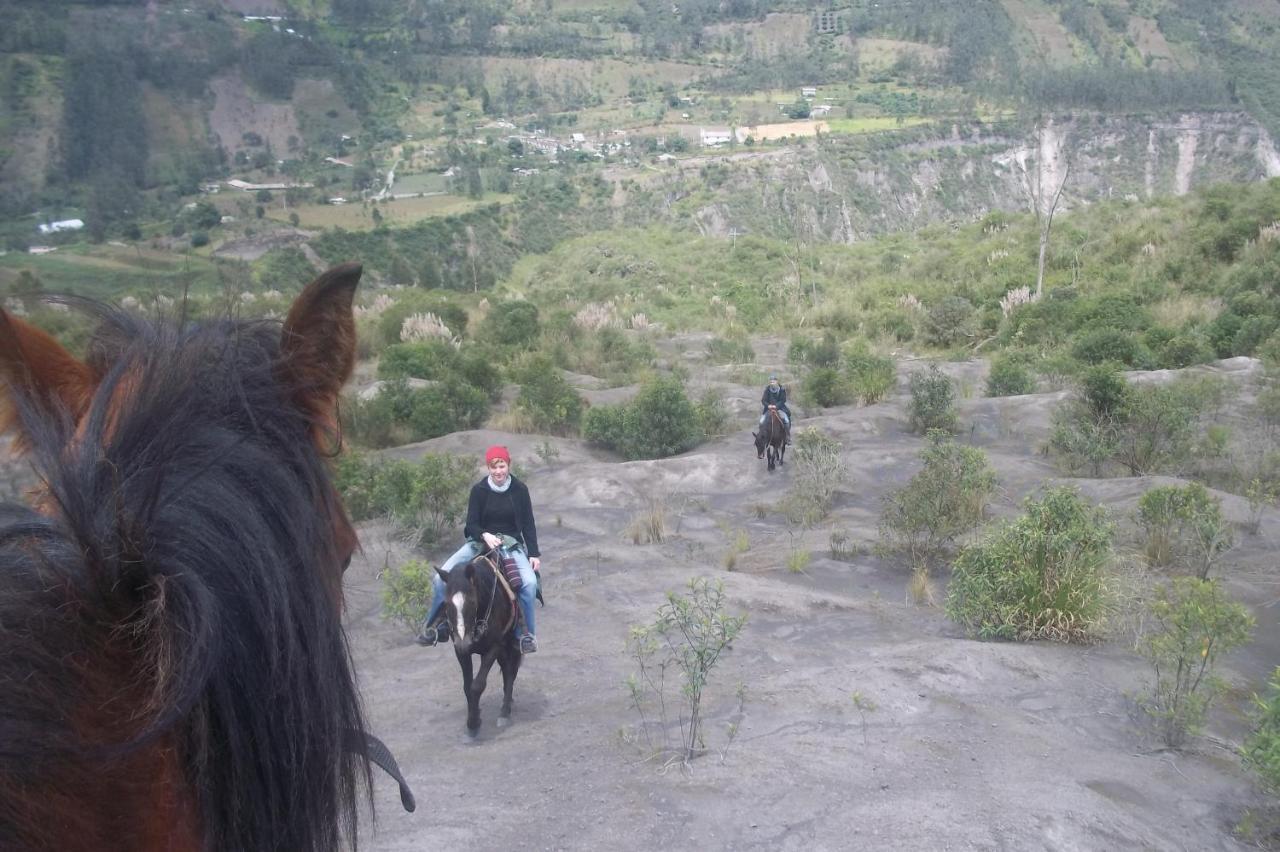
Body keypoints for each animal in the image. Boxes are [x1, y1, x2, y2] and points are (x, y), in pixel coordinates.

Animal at [437, 547, 522, 731]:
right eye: (446, 604)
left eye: (472, 601)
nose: (464, 643)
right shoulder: (460, 651)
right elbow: (467, 687)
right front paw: (473, 717)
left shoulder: (494, 647)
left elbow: (477, 685)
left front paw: (474, 723)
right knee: (507, 670)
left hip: (510, 644)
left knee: (510, 671)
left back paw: (504, 712)